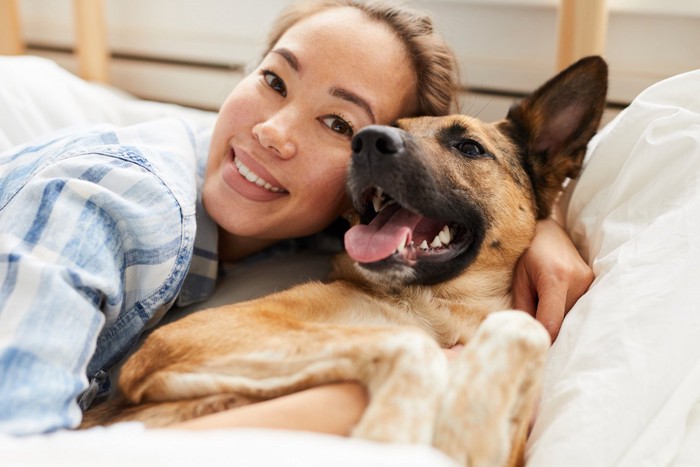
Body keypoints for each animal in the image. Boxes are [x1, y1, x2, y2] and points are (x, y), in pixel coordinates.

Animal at [82, 56, 608, 466]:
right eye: (388, 128)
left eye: (469, 147)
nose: (368, 141)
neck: (437, 307)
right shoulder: (180, 340)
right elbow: (412, 345)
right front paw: (395, 436)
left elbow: (521, 327)